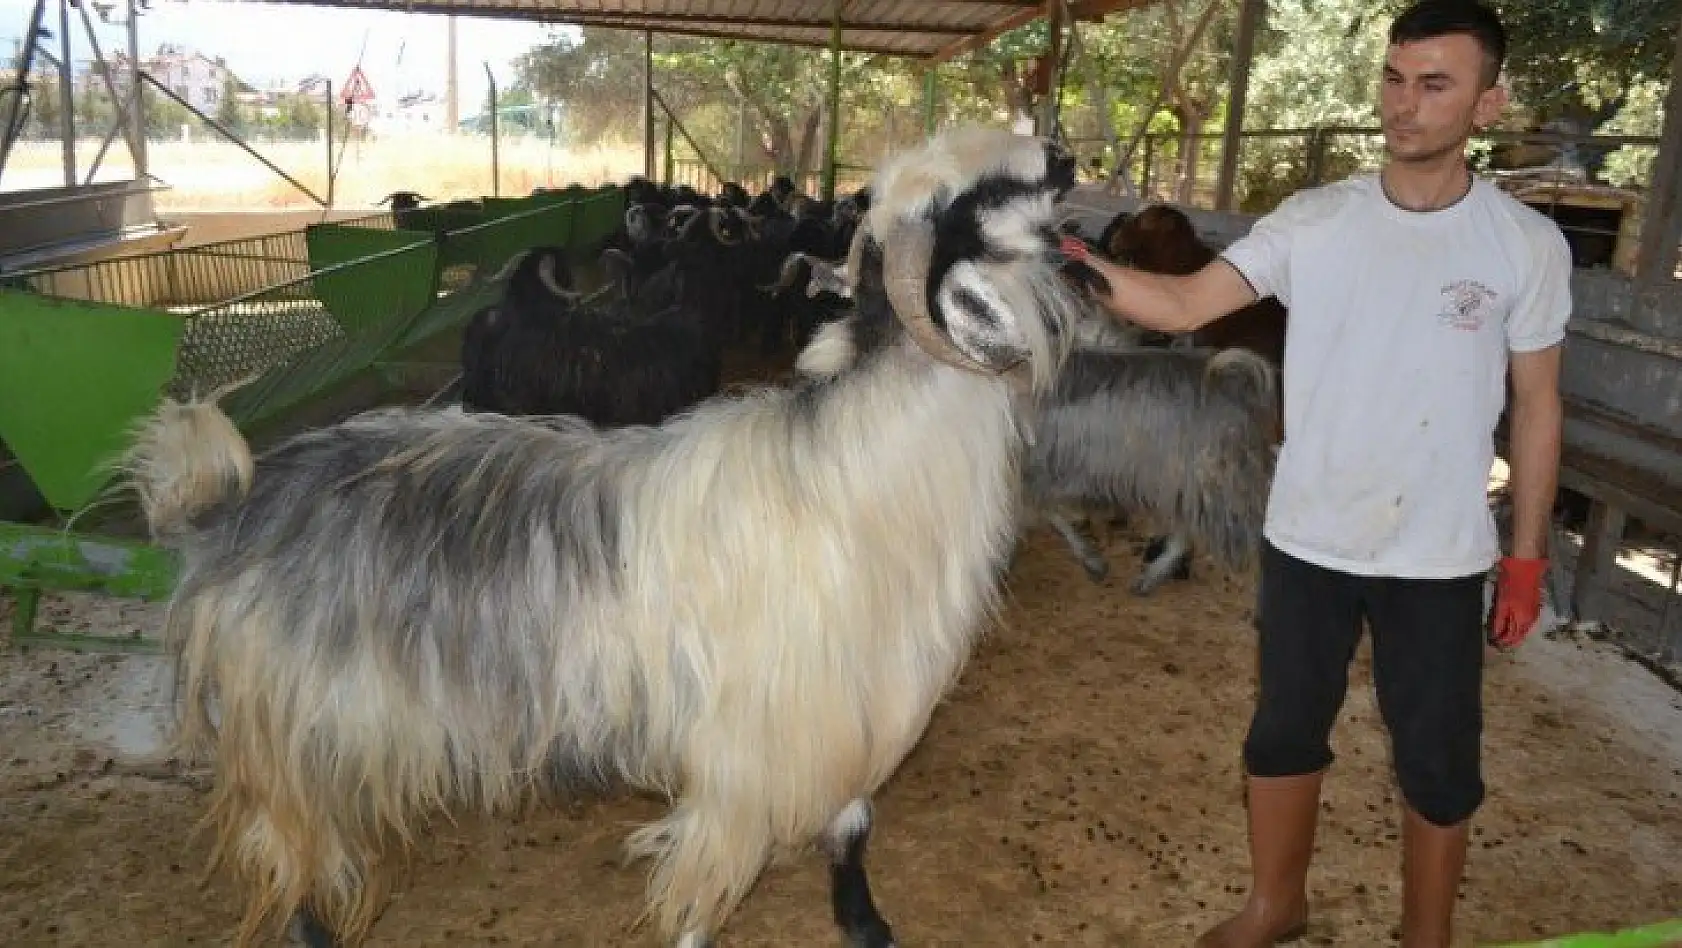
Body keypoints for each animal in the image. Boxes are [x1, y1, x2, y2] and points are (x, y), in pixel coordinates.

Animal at [124, 126, 1083, 948]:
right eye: (981, 193)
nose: (1068, 158)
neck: (861, 463)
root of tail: (230, 503)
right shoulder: (747, 751)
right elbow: (702, 893)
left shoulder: (850, 712)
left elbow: (852, 830)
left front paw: (866, 923)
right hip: (293, 733)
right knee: (293, 868)